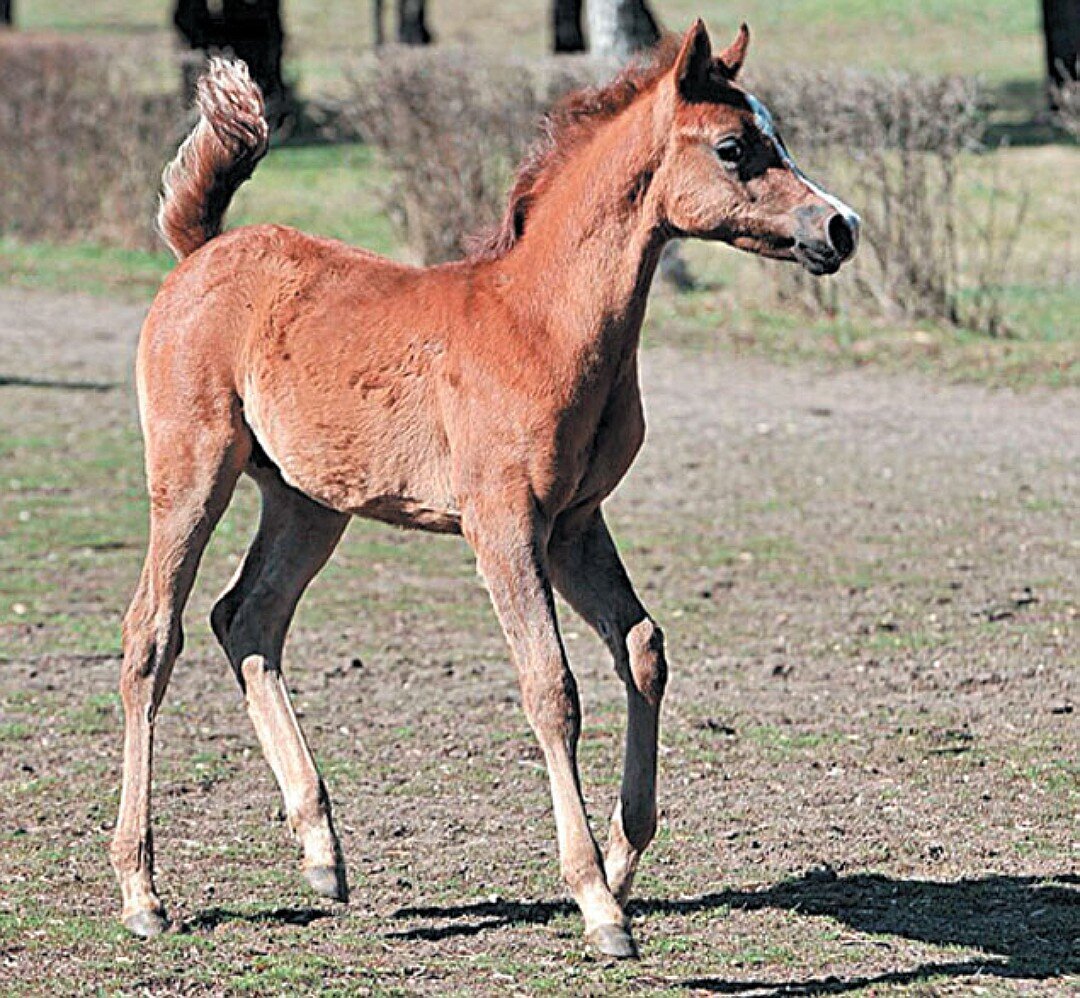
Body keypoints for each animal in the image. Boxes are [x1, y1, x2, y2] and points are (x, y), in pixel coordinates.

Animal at [109, 21, 859, 959]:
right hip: (192, 470)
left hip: (309, 501)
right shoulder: (503, 524)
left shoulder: (575, 523)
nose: (840, 225)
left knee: (246, 619)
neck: (542, 322)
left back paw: (322, 852)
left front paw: (624, 859)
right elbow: (551, 688)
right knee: (153, 637)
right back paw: (142, 891)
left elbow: (642, 649)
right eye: (734, 147)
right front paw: (598, 903)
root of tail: (202, 248)